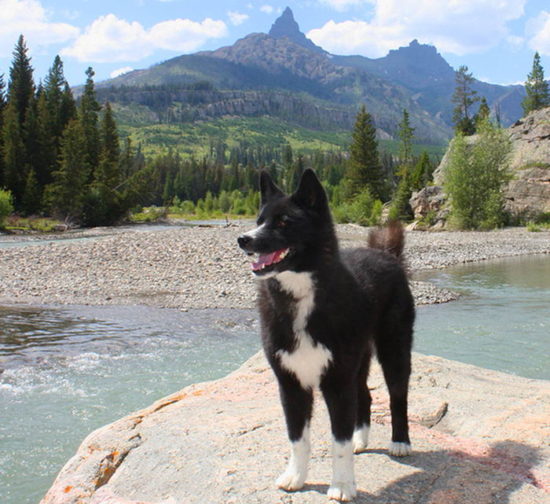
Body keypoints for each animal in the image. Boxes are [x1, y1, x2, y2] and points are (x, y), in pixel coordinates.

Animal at [237, 168, 414, 500]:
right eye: (259, 220)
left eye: (284, 222)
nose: (243, 239)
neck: (303, 295)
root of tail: (386, 254)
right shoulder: (291, 384)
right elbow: (297, 438)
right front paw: (296, 477)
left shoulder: (336, 382)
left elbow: (338, 443)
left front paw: (342, 485)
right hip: (359, 359)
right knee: (366, 395)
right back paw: (361, 439)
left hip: (394, 349)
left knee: (398, 396)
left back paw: (400, 442)